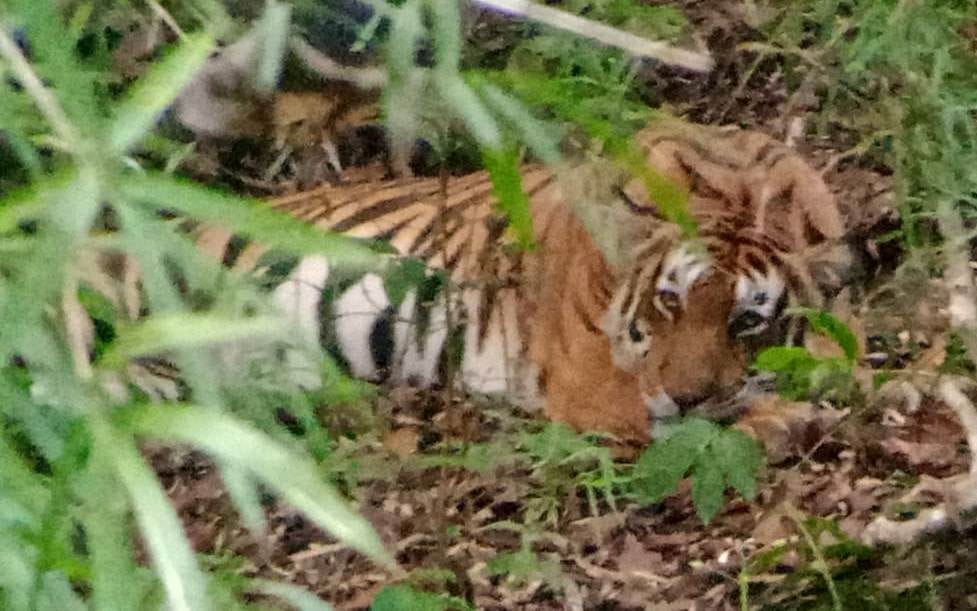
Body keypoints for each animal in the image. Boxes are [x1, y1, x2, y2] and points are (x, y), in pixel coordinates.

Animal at [81, 119, 863, 446]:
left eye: (746, 320)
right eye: (668, 302)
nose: (686, 391)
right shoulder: (593, 378)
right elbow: (698, 417)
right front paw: (780, 416)